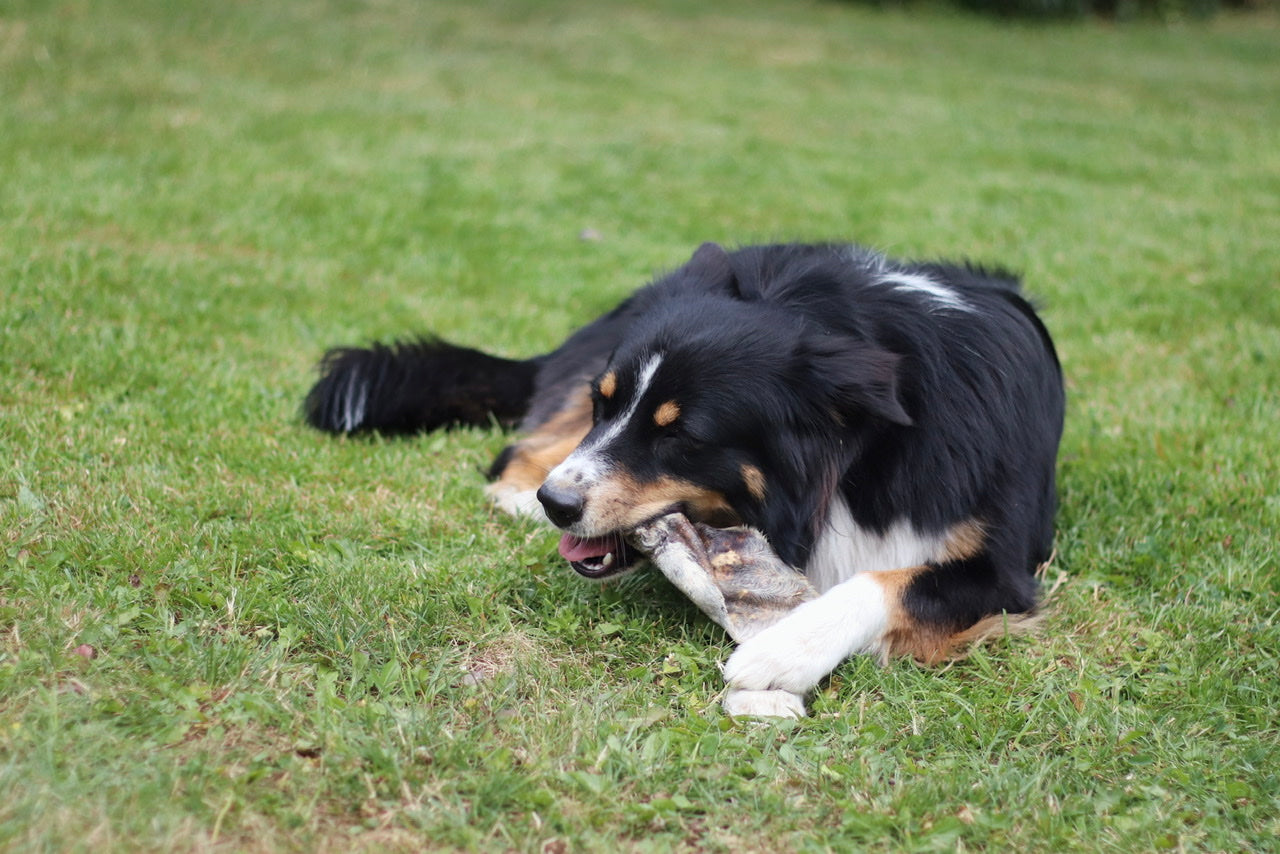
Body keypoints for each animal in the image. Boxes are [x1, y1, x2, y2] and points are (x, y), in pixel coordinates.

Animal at [304, 243, 1064, 717]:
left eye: (681, 435)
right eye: (608, 403)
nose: (558, 504)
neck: (860, 459)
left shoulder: (1004, 568)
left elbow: (883, 582)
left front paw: (783, 650)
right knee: (520, 446)